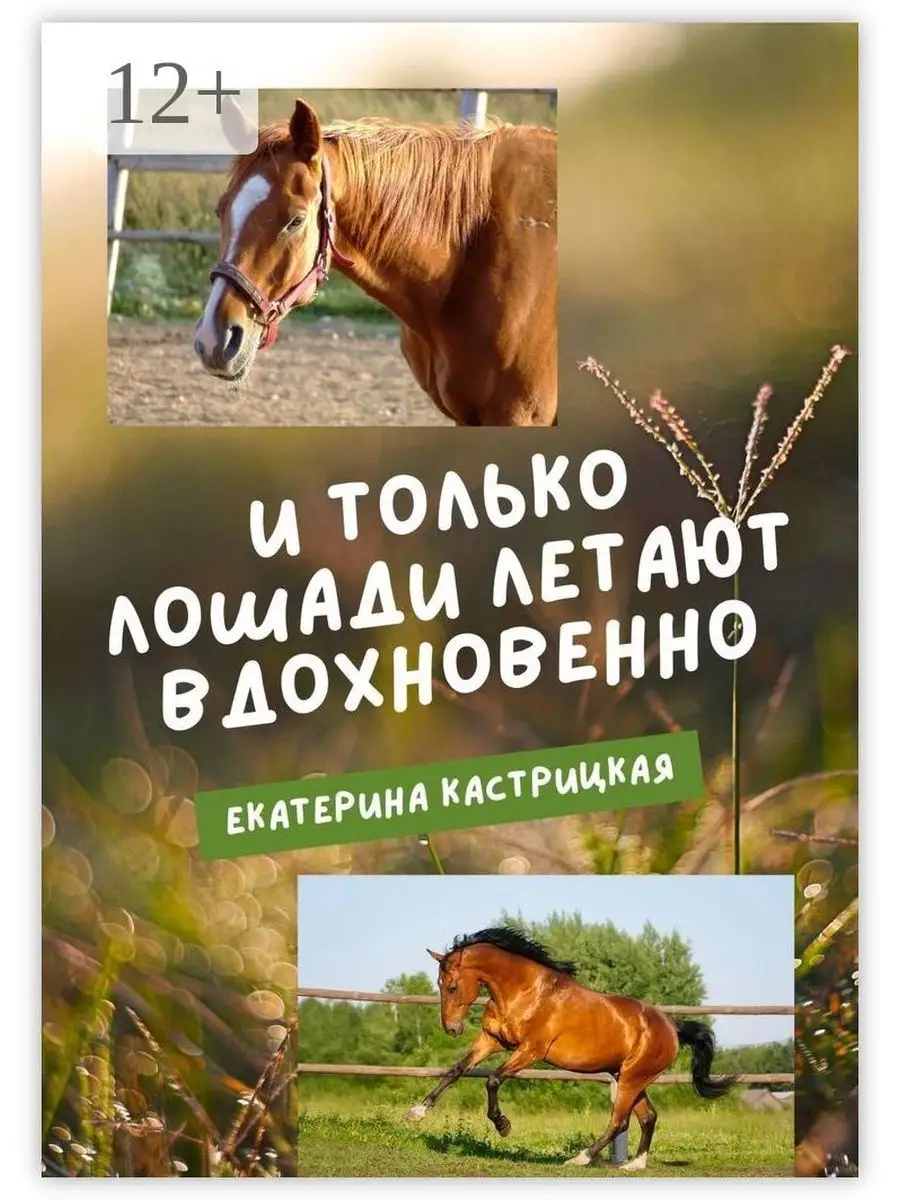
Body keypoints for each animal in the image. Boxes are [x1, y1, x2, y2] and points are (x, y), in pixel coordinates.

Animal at [405, 927, 735, 1171]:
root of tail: (672, 1028)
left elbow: (493, 1079)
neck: (525, 991)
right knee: (648, 1117)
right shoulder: (491, 1041)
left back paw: (580, 1158)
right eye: (439, 985)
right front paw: (417, 1112)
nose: (452, 1029)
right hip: (629, 1077)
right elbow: (456, 1070)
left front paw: (503, 1125)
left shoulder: (531, 1050)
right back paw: (635, 1165)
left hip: (632, 1078)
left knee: (619, 1122)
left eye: (452, 987)